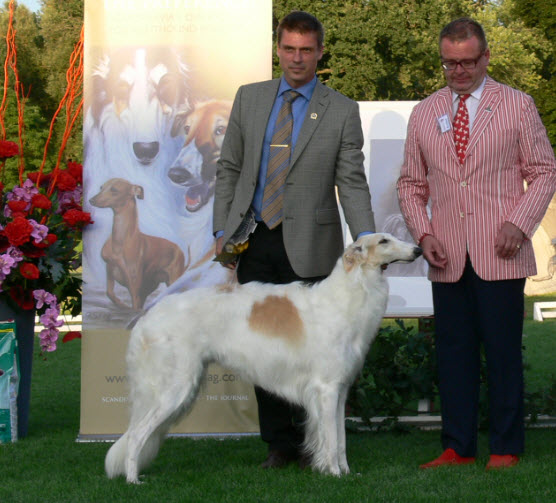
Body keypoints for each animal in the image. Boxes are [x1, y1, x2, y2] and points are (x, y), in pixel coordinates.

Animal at [105, 234, 422, 482]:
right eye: (384, 240)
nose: (418, 250)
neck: (348, 294)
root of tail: (147, 318)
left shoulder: (340, 390)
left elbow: (341, 440)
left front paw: (346, 472)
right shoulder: (326, 388)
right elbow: (331, 441)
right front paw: (333, 474)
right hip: (174, 388)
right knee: (135, 436)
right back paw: (133, 480)